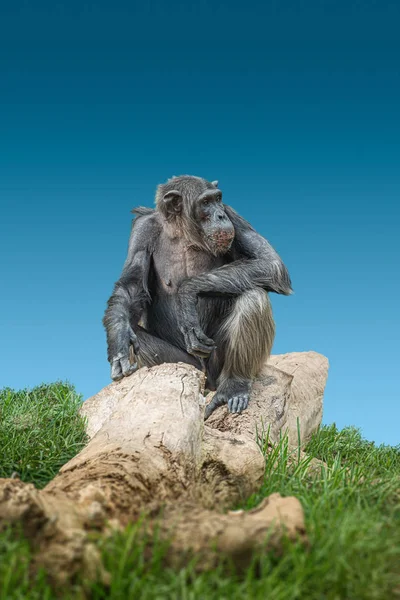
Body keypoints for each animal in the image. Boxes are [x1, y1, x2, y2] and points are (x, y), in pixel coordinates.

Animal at [102, 175, 290, 418]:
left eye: (218, 199)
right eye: (205, 202)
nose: (219, 215)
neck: (182, 230)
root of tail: (206, 383)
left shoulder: (233, 215)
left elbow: (270, 263)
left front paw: (187, 294)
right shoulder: (142, 231)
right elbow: (130, 287)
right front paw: (118, 341)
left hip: (216, 367)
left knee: (253, 296)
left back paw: (234, 386)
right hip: (185, 365)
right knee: (136, 333)